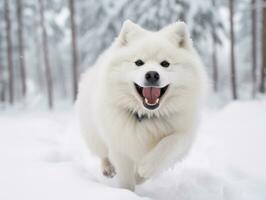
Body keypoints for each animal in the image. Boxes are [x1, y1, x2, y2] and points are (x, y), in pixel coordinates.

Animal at [76, 19, 207, 191]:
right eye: (139, 62)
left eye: (165, 64)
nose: (152, 74)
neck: (146, 116)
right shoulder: (120, 145)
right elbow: (126, 179)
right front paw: (126, 191)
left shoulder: (184, 133)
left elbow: (170, 143)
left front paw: (144, 169)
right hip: (94, 134)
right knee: (102, 153)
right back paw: (108, 168)